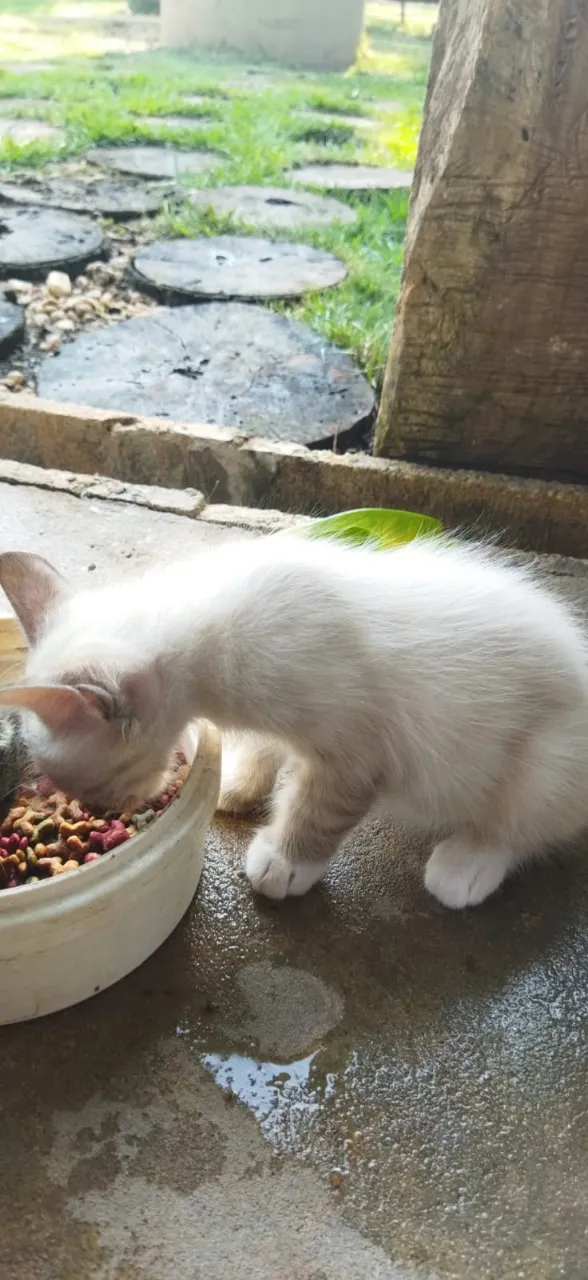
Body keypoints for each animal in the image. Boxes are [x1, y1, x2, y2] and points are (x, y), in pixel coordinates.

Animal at [1, 537, 588, 911]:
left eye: (92, 786)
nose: (102, 811)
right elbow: (267, 747)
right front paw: (238, 783)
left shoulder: (355, 746)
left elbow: (318, 808)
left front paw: (285, 862)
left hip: (545, 761)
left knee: (521, 823)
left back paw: (465, 865)